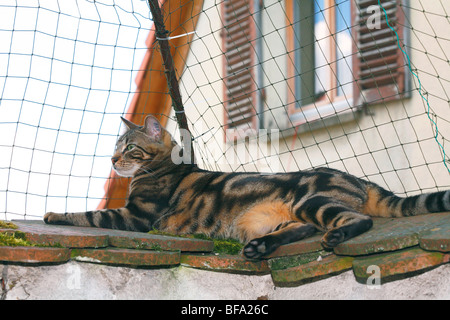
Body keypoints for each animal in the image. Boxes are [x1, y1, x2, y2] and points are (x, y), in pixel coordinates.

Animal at [44, 116, 450, 258]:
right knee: (300, 228)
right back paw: (259, 248)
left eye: (128, 148)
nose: (113, 161)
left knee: (354, 221)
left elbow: (88, 215)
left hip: (310, 200)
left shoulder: (137, 217)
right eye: (115, 148)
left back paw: (334, 237)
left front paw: (52, 214)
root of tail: (361, 180)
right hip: (260, 219)